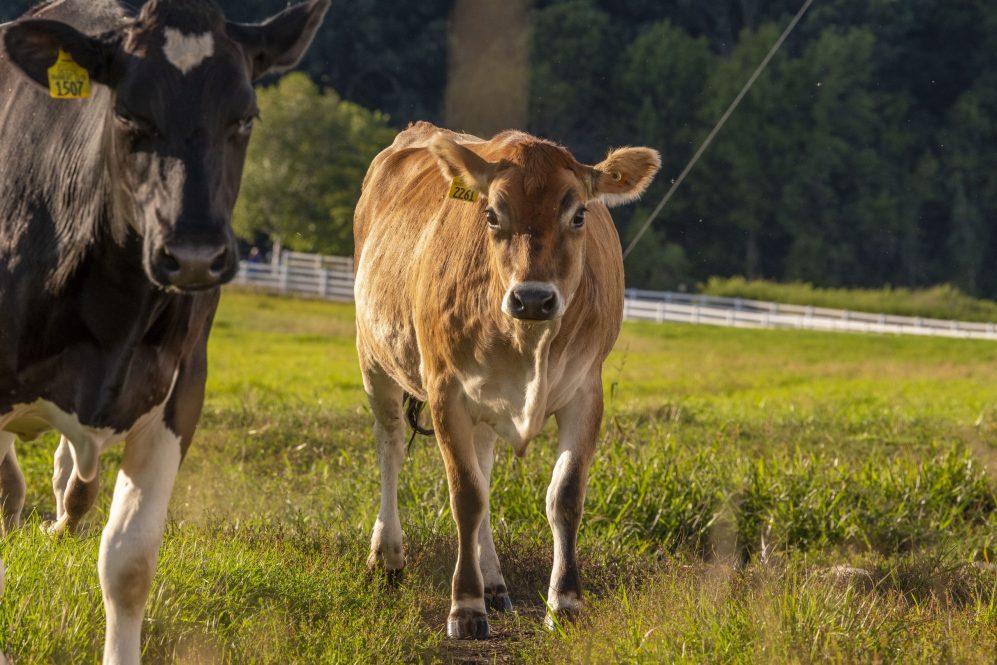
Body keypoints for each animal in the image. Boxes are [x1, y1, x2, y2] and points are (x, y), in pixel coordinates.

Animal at [354, 122, 656, 636]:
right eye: (492, 215)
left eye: (578, 214)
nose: (532, 298)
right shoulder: (446, 390)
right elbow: (466, 496)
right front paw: (465, 605)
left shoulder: (585, 390)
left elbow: (564, 495)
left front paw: (565, 601)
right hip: (373, 356)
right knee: (390, 445)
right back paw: (389, 556)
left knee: (483, 463)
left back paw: (495, 583)